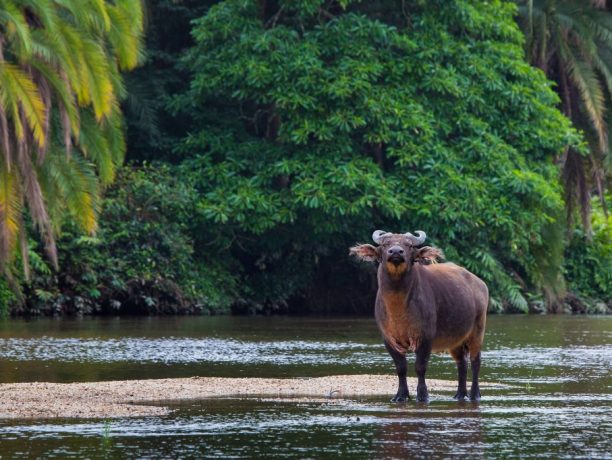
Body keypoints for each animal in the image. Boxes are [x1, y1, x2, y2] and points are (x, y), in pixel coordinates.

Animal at [350, 230, 488, 402]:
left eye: (409, 245)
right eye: (385, 244)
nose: (396, 252)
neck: (398, 308)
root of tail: (480, 284)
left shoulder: (425, 337)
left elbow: (420, 367)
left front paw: (422, 395)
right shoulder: (389, 339)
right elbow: (401, 368)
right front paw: (400, 395)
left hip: (477, 330)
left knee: (476, 361)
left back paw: (475, 394)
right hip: (456, 339)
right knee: (461, 363)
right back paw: (459, 395)